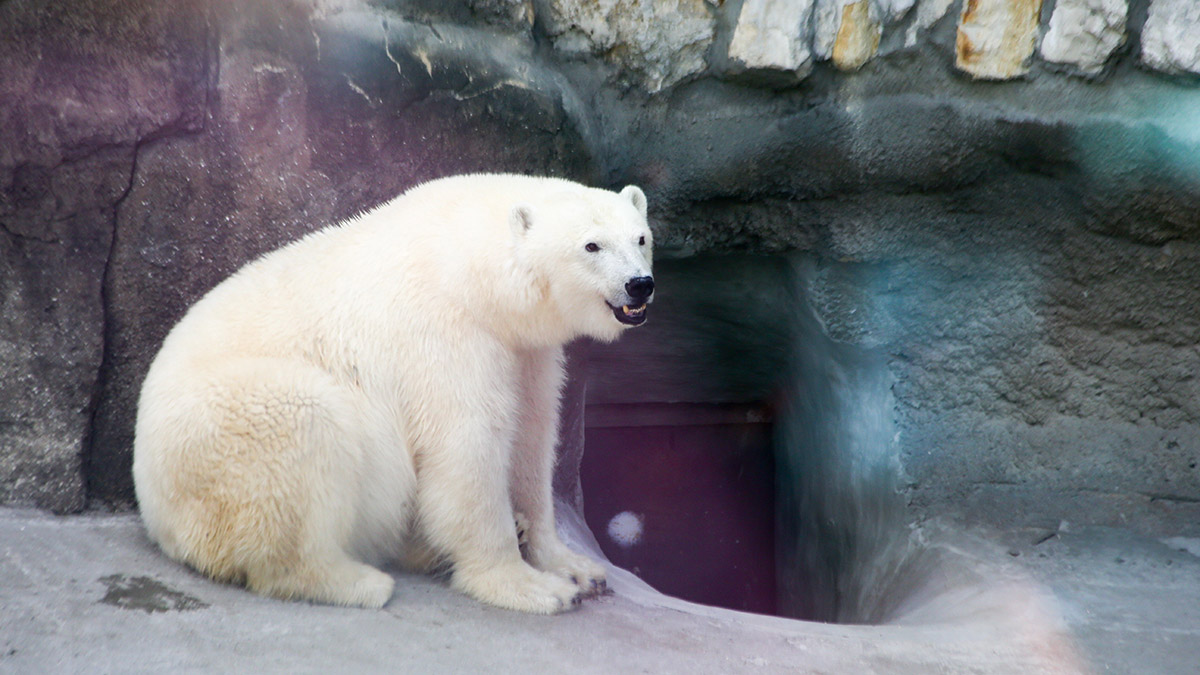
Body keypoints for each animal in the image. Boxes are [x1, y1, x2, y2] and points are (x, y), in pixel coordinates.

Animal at [132, 171, 657, 610]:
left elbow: (532, 438)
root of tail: (151, 503)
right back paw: (357, 582)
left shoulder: (526, 350)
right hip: (218, 434)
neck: (467, 267)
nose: (640, 284)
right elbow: (467, 448)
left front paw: (576, 567)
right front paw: (529, 585)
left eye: (641, 238)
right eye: (591, 245)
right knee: (302, 425)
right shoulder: (444, 336)